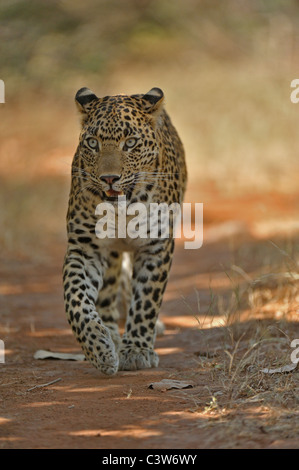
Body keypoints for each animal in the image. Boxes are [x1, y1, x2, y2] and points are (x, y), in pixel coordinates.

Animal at [63, 86, 188, 376]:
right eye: (92, 143)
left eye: (130, 143)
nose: (109, 178)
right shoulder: (85, 248)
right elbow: (75, 298)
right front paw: (98, 347)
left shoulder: (156, 247)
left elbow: (146, 300)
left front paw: (137, 350)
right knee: (108, 289)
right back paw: (110, 333)